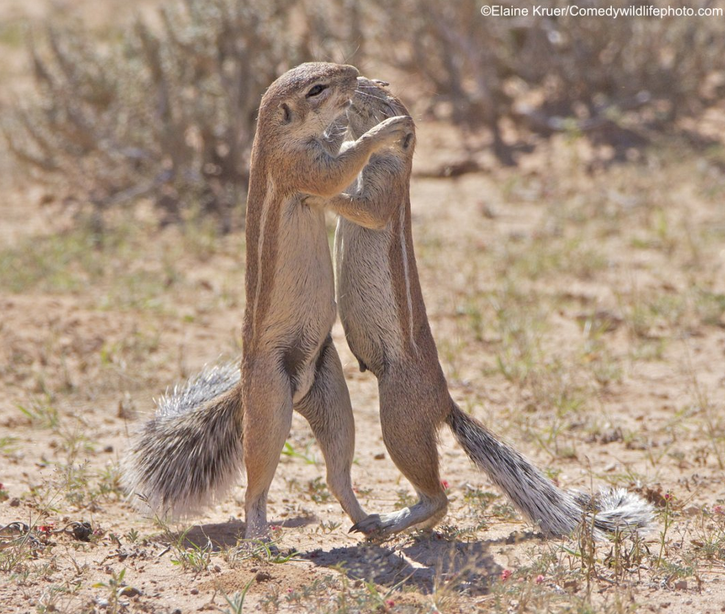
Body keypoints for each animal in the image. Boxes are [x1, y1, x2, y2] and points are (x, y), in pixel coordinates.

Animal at [124, 63, 412, 540]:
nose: (354, 72)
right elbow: (339, 168)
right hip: (270, 405)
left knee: (337, 472)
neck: (276, 136)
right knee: (254, 482)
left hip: (331, 391)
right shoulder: (299, 167)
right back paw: (259, 536)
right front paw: (381, 131)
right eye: (317, 89)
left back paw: (367, 520)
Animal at [302, 78, 652, 540]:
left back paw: (393, 521)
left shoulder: (386, 188)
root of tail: (445, 403)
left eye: (384, 95)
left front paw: (317, 194)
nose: (359, 81)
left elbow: (365, 208)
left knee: (437, 494)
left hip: (398, 415)